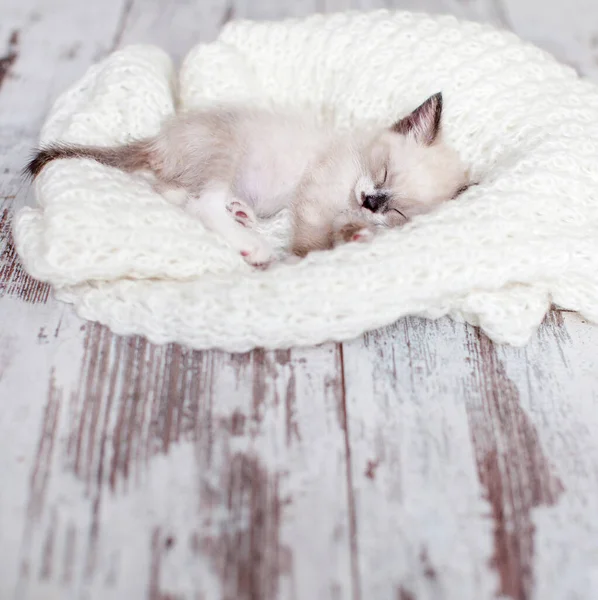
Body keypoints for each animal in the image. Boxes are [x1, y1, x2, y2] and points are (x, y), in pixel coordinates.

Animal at [25, 92, 472, 264]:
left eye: (398, 211)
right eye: (383, 170)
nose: (371, 202)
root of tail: (159, 139)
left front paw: (356, 233)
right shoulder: (315, 199)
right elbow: (310, 244)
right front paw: (327, 247)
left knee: (174, 193)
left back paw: (240, 212)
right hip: (229, 147)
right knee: (200, 203)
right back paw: (251, 244)